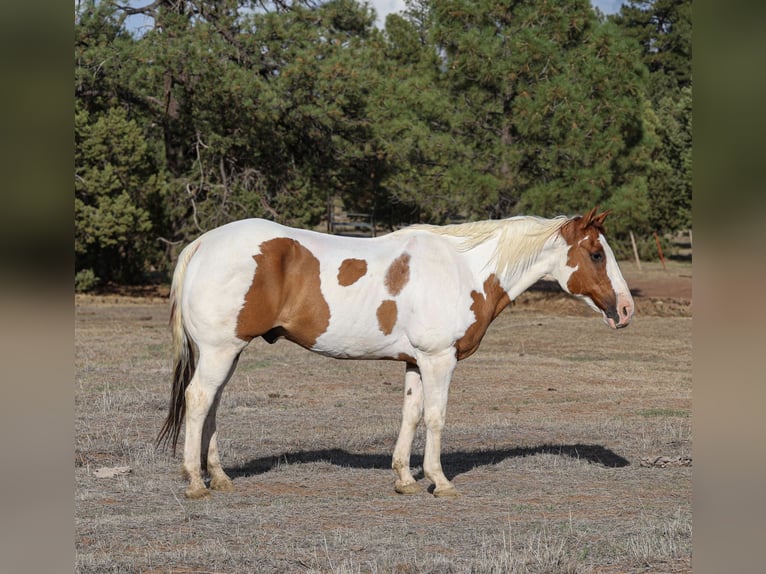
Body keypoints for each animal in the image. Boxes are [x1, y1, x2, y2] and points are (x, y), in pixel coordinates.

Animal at [157, 207, 634, 499]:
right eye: (596, 254)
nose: (627, 310)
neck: (464, 269)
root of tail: (202, 244)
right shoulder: (439, 359)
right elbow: (436, 417)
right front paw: (440, 481)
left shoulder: (415, 362)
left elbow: (411, 414)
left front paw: (405, 478)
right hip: (220, 351)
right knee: (198, 400)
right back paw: (195, 482)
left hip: (227, 352)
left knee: (212, 404)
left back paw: (218, 476)